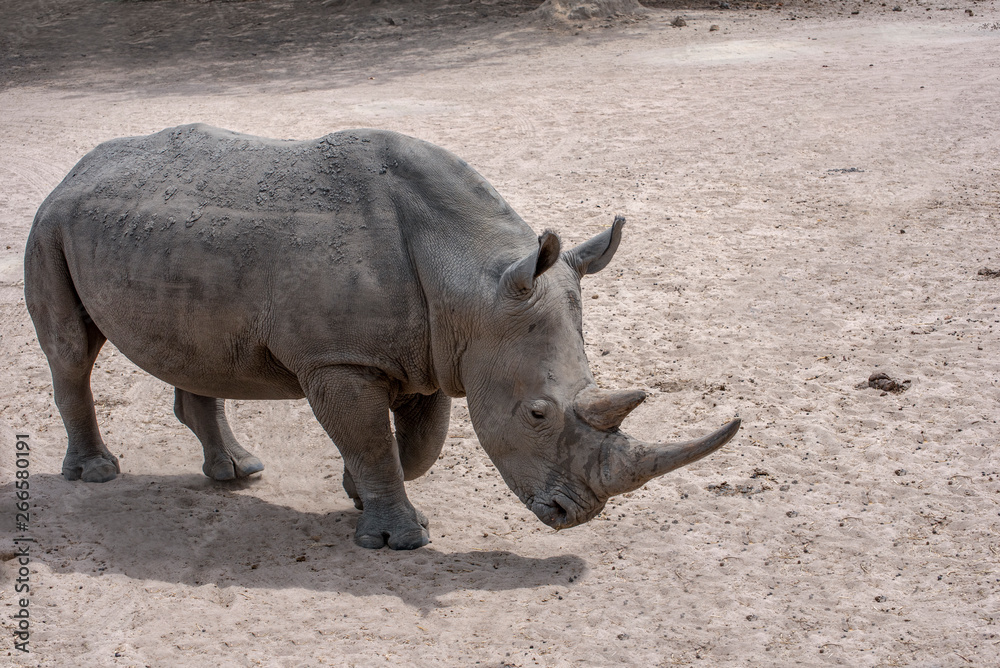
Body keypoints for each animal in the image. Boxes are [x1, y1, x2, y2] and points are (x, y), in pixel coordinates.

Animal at [25, 124, 739, 550]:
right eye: (537, 413)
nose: (576, 515)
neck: (472, 274)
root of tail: (75, 168)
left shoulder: (440, 350)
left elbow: (418, 444)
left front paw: (355, 493)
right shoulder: (338, 359)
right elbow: (371, 437)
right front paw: (398, 538)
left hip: (159, 238)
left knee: (194, 354)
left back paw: (237, 473)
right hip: (50, 223)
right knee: (71, 354)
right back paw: (97, 474)